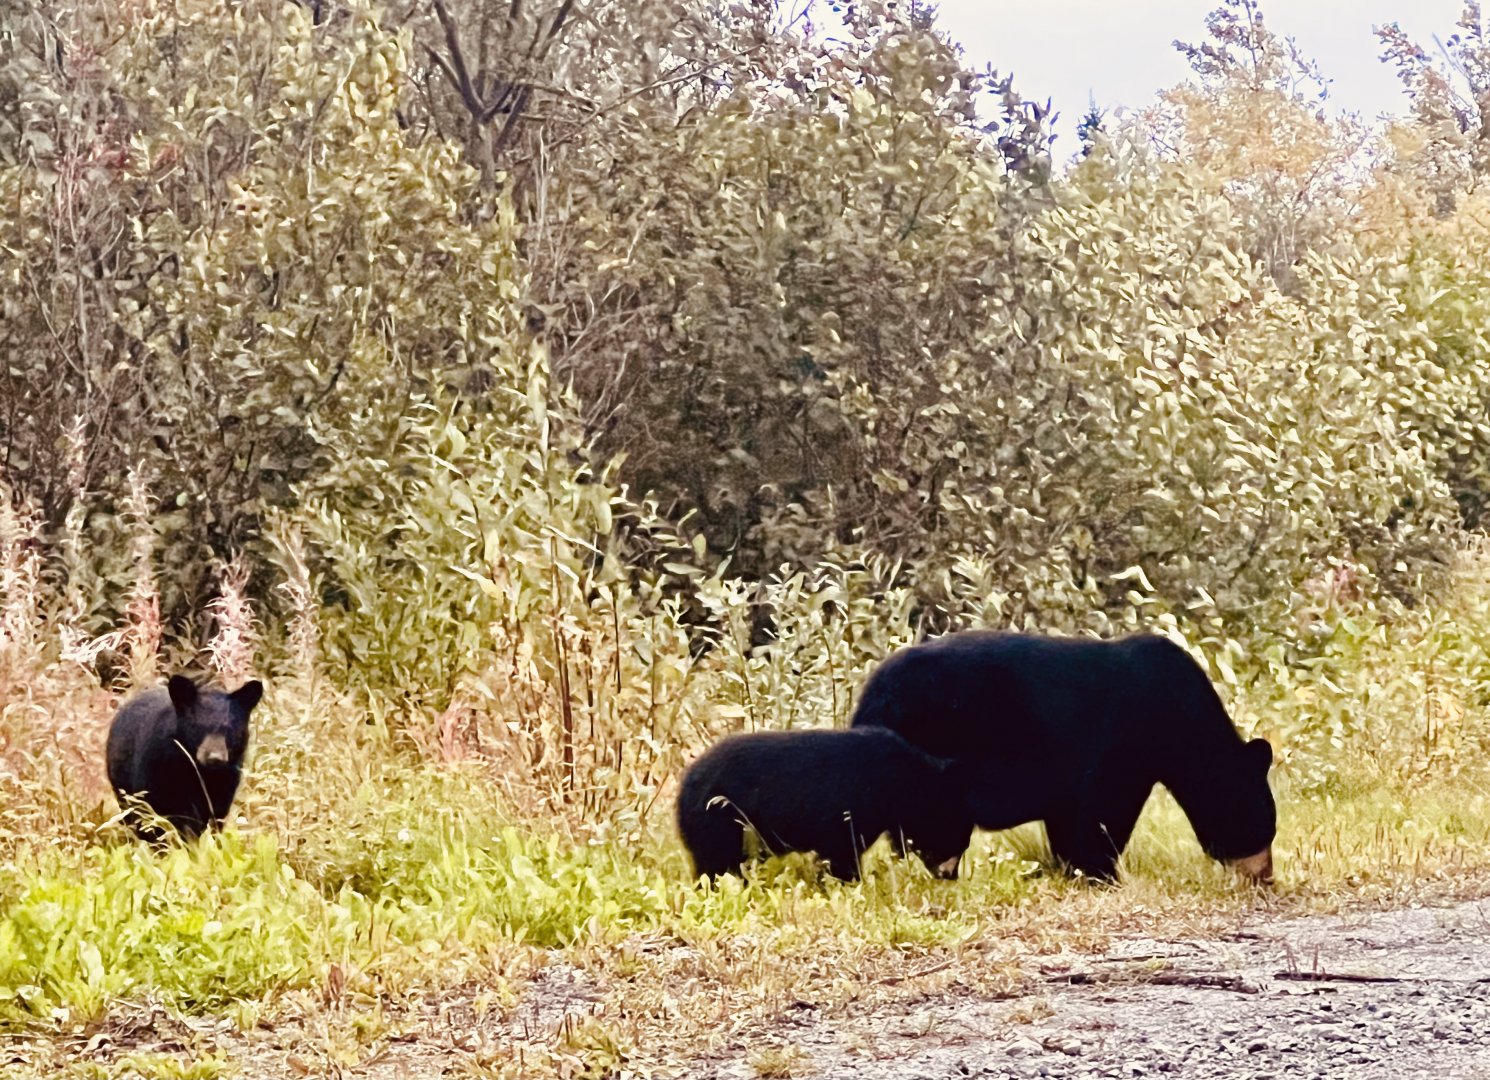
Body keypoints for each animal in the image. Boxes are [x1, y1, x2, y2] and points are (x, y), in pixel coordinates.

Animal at [105, 674, 263, 840]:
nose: (215, 758)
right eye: (198, 726)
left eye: (230, 729)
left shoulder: (226, 781)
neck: (200, 771)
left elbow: (215, 817)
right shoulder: (156, 770)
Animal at [676, 727, 974, 883]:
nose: (950, 875)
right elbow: (843, 850)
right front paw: (851, 881)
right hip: (720, 820)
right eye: (955, 841)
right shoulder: (852, 807)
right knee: (717, 863)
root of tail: (685, 786)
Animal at [850, 631, 1275, 884]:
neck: (1182, 721)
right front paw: (1101, 871)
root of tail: (873, 693)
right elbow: (1104, 810)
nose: (1266, 877)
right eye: (1265, 828)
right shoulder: (1123, 745)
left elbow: (1066, 817)